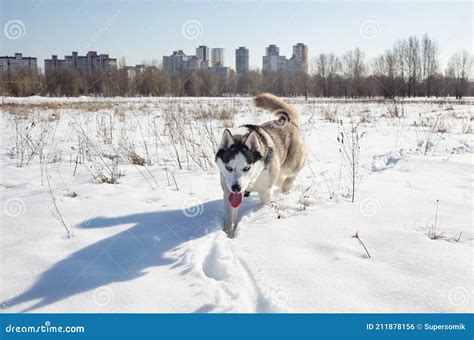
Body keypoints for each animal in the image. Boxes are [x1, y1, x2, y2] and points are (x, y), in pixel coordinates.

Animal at [216, 92, 308, 236]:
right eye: (228, 167)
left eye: (246, 168)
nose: (236, 188)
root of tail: (286, 121)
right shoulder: (228, 193)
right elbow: (229, 220)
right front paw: (228, 235)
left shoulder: (265, 192)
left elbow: (267, 203)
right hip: (277, 172)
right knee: (280, 180)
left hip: (292, 165)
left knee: (291, 176)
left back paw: (286, 189)